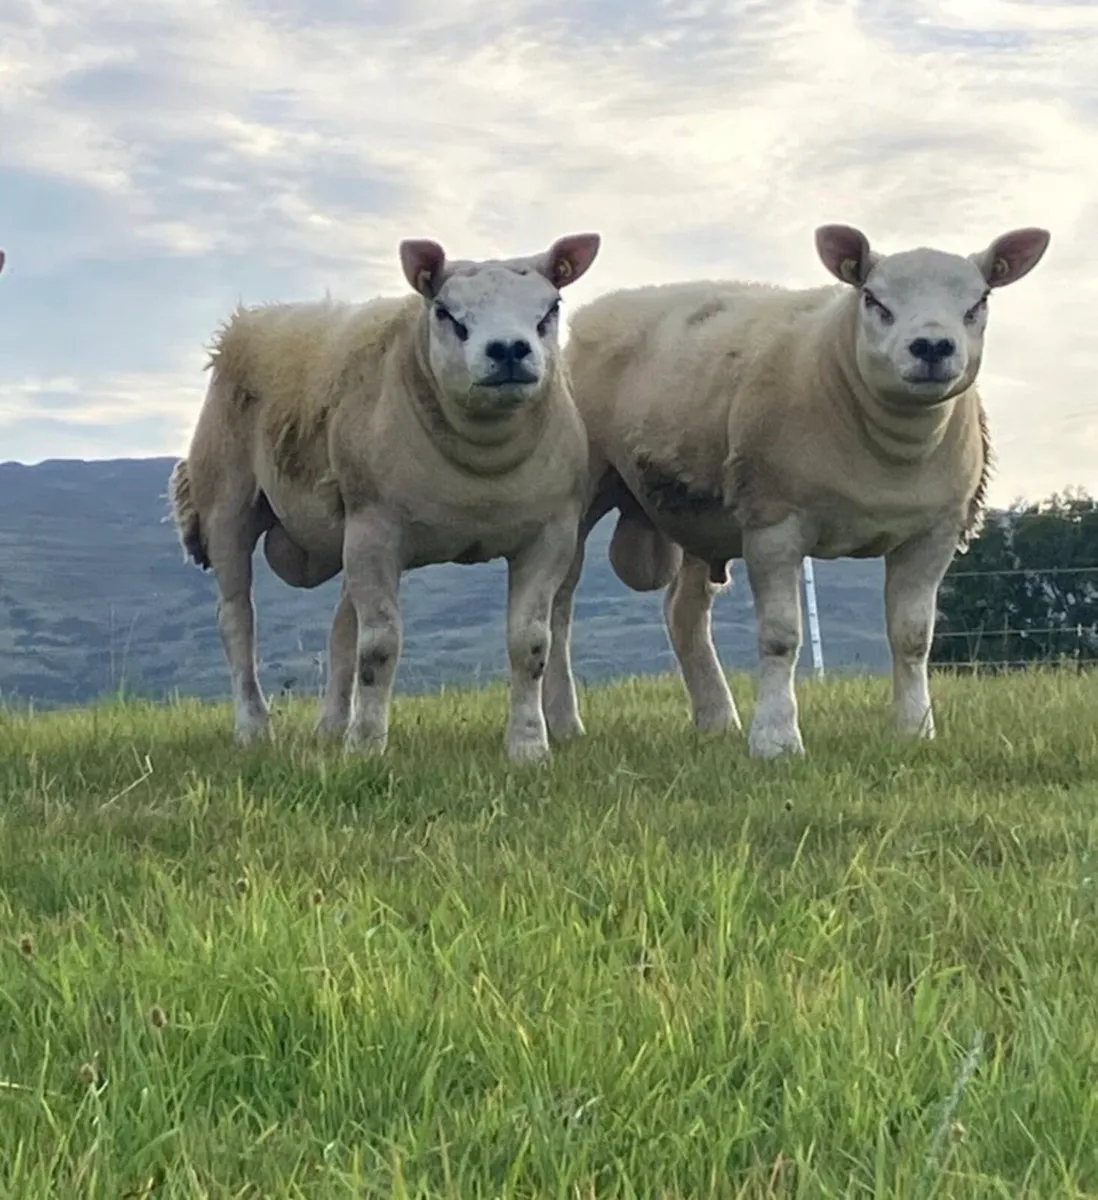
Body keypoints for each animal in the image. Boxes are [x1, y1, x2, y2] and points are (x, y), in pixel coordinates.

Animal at [169, 231, 602, 762]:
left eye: (550, 308)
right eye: (444, 311)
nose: (507, 350)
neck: (481, 467)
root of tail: (248, 324)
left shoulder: (550, 536)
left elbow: (531, 644)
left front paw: (528, 748)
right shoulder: (375, 530)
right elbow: (378, 648)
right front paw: (367, 748)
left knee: (339, 630)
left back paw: (331, 727)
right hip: (227, 504)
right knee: (237, 621)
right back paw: (254, 726)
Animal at [541, 223, 1050, 757]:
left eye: (979, 301)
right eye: (873, 298)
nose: (932, 347)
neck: (890, 449)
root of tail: (602, 309)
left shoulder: (935, 533)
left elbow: (912, 637)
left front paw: (915, 730)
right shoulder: (775, 524)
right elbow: (780, 635)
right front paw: (776, 739)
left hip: (699, 512)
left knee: (683, 612)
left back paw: (717, 720)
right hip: (584, 493)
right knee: (558, 610)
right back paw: (563, 722)